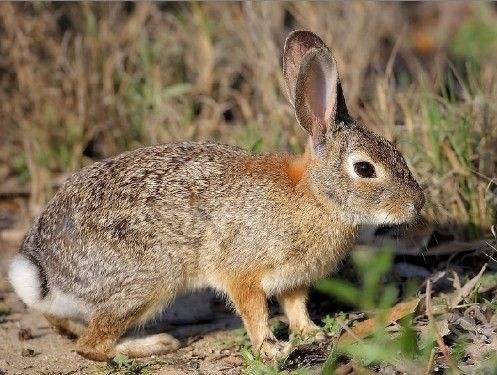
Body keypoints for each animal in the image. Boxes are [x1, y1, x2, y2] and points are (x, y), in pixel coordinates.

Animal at [6, 30, 422, 362]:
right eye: (365, 169)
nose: (416, 204)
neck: (316, 197)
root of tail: (44, 270)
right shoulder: (242, 272)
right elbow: (254, 312)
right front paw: (272, 349)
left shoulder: (293, 281)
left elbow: (295, 306)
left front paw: (311, 333)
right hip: (146, 282)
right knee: (91, 346)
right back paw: (154, 344)